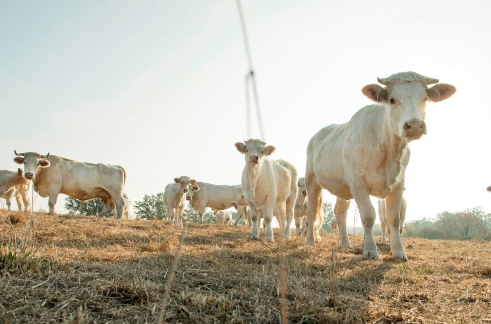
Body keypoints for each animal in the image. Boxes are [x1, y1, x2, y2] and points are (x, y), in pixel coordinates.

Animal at [306, 72, 456, 260]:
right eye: (392, 99)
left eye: (425, 98)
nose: (414, 125)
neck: (389, 149)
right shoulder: (358, 182)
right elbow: (368, 216)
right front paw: (370, 250)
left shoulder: (398, 182)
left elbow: (394, 218)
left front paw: (399, 252)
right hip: (312, 179)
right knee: (312, 211)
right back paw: (310, 241)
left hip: (342, 188)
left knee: (340, 213)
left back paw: (345, 243)